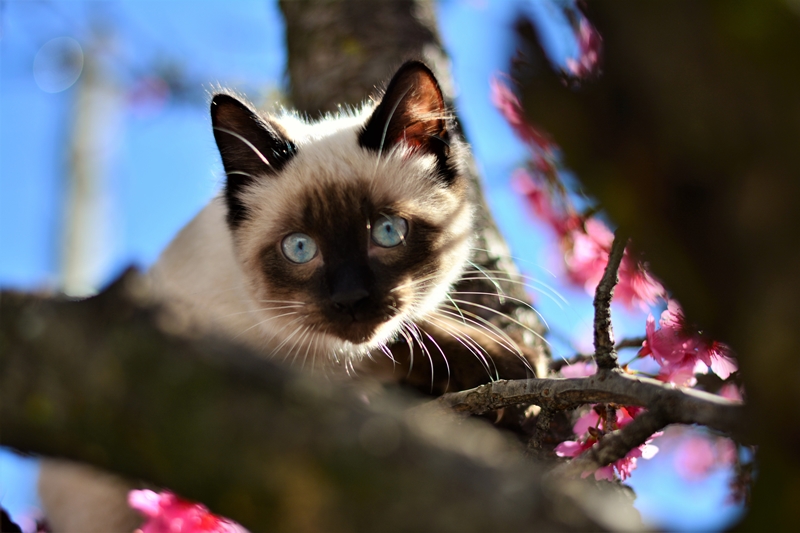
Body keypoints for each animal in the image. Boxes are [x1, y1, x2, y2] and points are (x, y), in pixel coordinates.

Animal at [39, 62, 536, 532]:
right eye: (300, 248)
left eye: (387, 232)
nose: (351, 298)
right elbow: (401, 343)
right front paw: (514, 370)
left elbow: (405, 336)